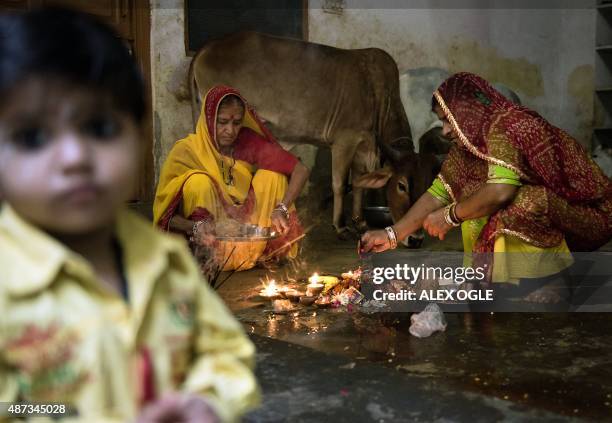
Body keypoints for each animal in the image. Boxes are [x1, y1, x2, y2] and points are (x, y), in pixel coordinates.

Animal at [186, 31, 418, 238]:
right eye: (401, 186)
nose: (415, 237)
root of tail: (208, 46)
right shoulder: (345, 140)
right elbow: (340, 184)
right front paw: (340, 226)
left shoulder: (362, 145)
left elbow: (359, 183)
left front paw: (360, 222)